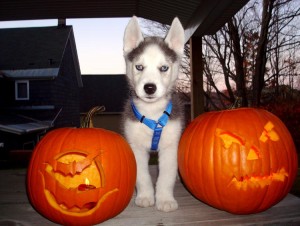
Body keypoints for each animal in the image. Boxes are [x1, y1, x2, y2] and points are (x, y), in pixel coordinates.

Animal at [122, 16, 185, 212]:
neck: (152, 113)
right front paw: (145, 196)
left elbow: (166, 176)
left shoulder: (170, 146)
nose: (149, 88)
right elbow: (142, 176)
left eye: (163, 68)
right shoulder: (136, 147)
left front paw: (164, 199)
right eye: (139, 67)